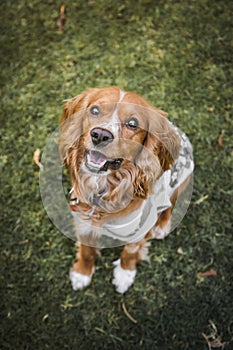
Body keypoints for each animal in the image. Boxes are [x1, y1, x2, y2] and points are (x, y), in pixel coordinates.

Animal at [59, 87, 194, 292]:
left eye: (132, 124)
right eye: (95, 110)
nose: (100, 135)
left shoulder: (140, 228)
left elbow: (130, 251)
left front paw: (124, 274)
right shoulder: (84, 220)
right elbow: (87, 250)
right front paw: (82, 272)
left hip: (181, 180)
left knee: (169, 204)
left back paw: (162, 226)